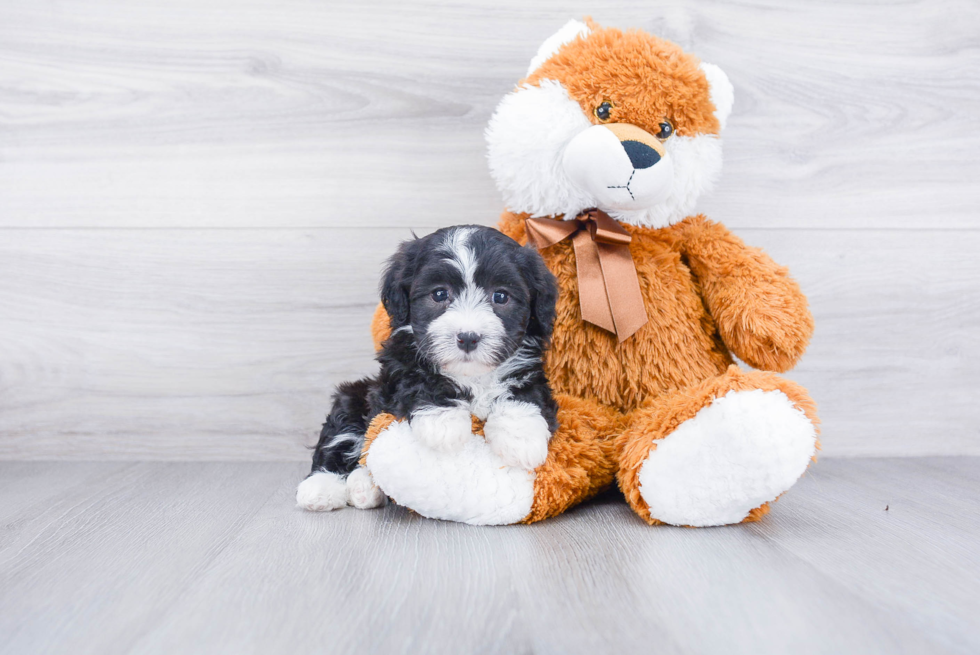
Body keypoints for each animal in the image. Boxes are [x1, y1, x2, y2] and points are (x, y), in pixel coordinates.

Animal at [294, 226, 560, 512]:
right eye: (439, 294)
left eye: (500, 296)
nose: (468, 337)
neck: (472, 376)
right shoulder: (397, 369)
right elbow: (420, 379)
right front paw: (443, 424)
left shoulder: (530, 371)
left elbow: (525, 395)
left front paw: (522, 439)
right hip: (352, 397)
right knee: (339, 438)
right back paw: (322, 488)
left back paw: (363, 487)